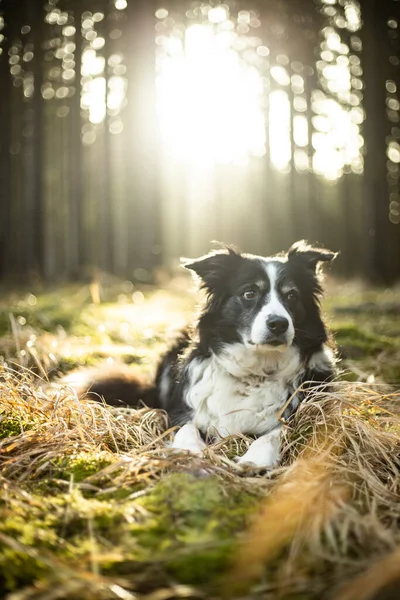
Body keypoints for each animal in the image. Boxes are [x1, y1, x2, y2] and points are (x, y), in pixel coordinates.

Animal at [77, 240, 338, 468]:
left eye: (291, 295)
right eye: (250, 293)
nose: (279, 324)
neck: (255, 372)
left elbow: (274, 434)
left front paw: (255, 459)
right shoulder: (181, 411)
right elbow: (186, 428)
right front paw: (191, 450)